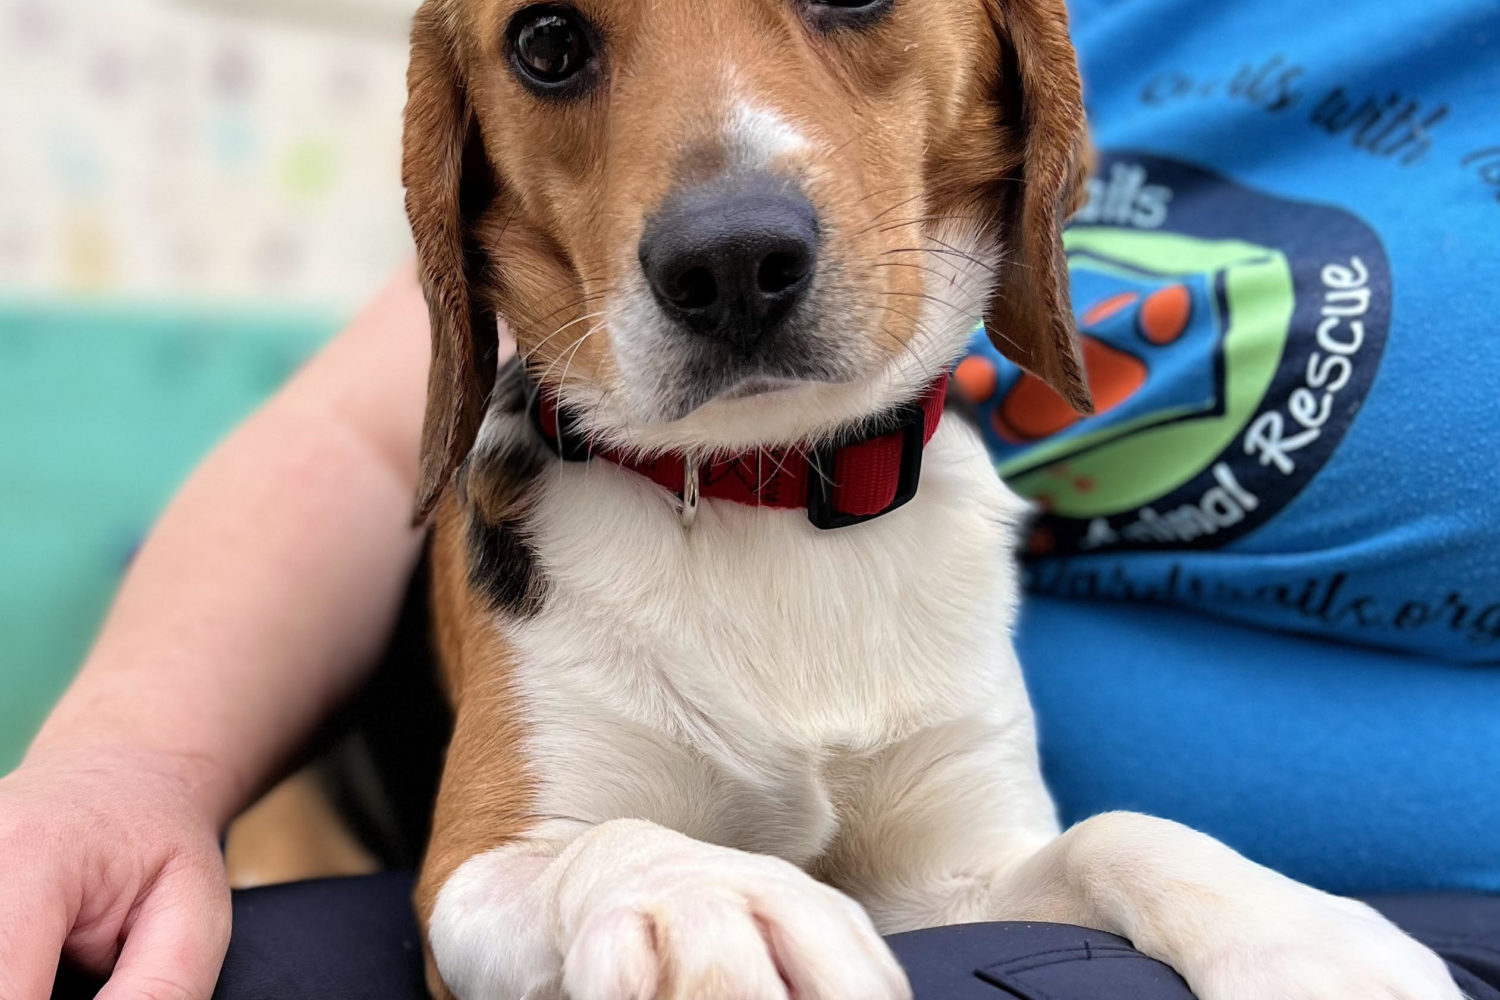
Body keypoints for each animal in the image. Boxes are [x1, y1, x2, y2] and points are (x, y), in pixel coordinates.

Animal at [405, 1, 1458, 1000]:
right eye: (546, 42)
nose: (730, 263)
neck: (775, 479)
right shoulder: (472, 873)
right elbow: (613, 840)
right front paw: (709, 905)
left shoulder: (945, 877)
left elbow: (1117, 830)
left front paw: (1300, 933)